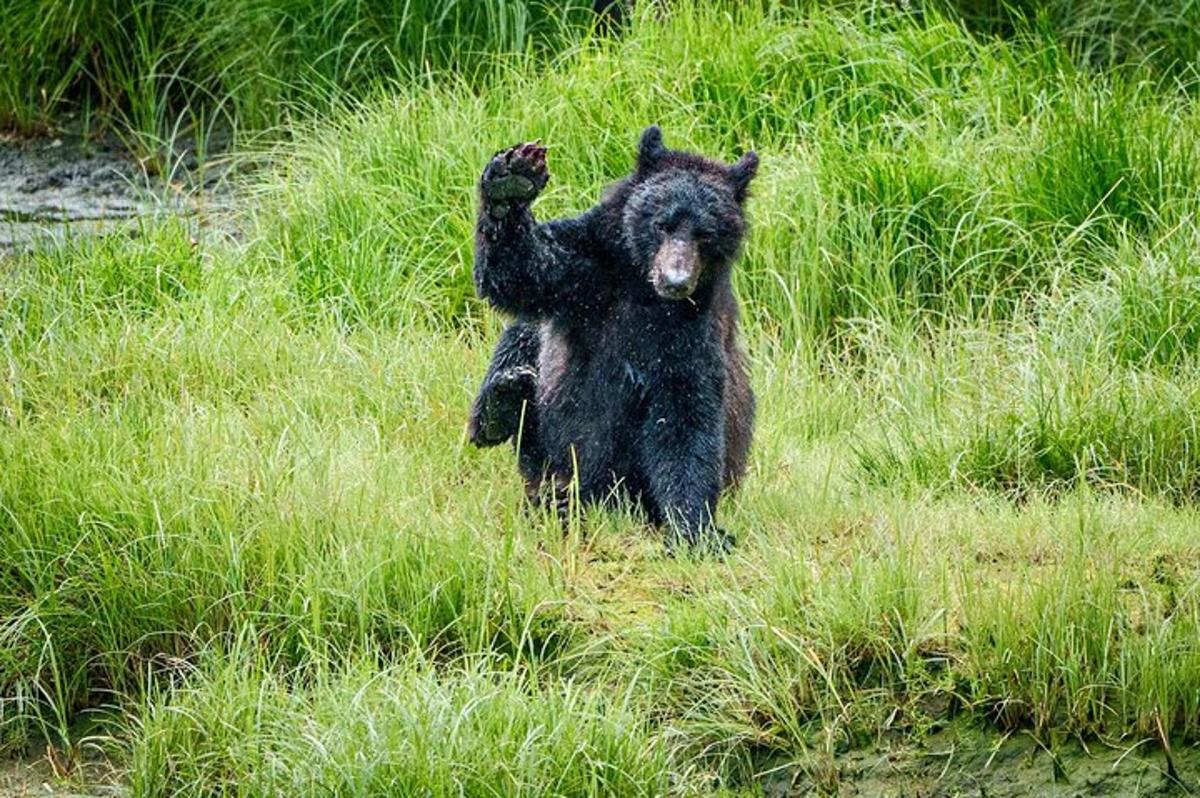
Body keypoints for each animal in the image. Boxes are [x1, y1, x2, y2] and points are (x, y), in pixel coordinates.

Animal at [465, 127, 753, 552]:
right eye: (662, 223)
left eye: (705, 233)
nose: (676, 280)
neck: (642, 290)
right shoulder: (589, 269)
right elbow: (522, 269)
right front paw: (513, 180)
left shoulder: (691, 331)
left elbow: (684, 417)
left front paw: (696, 530)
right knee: (522, 339)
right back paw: (503, 403)